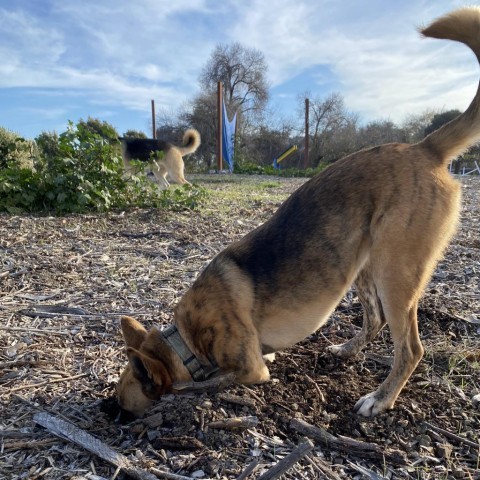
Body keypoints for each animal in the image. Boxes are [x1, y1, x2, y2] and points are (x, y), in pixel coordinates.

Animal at [118, 8, 480, 420]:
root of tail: (425, 147)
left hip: (396, 274)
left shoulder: (247, 368)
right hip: (364, 266)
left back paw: (380, 398)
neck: (187, 339)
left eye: (122, 403)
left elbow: (201, 382)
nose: (106, 410)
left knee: (411, 348)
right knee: (375, 320)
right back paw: (347, 351)